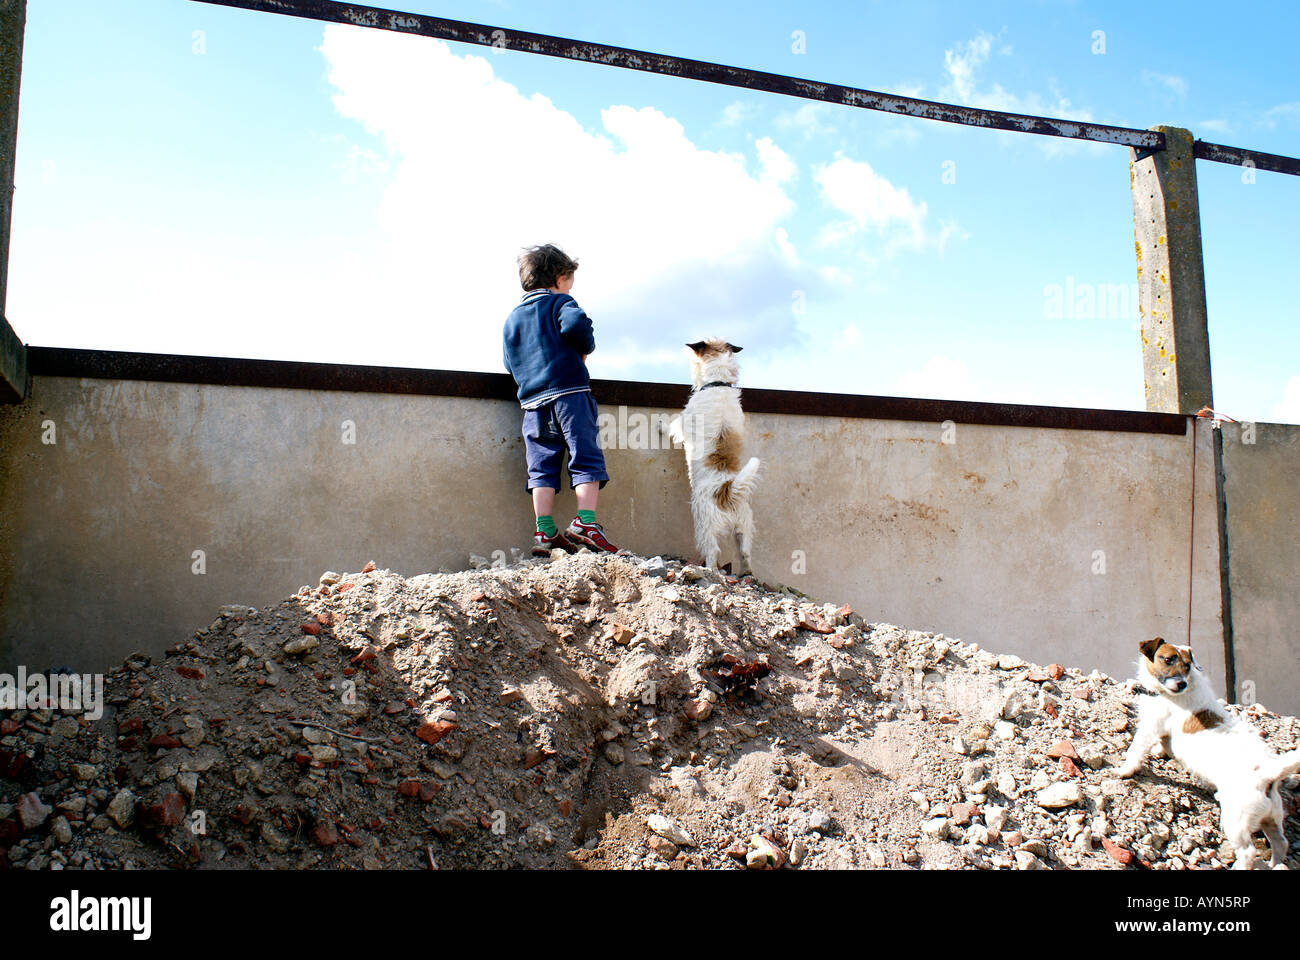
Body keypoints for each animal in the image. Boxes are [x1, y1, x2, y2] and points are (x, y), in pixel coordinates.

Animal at [670, 335, 759, 572]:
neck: (718, 384)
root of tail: (727, 489)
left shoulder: (683, 422)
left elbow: (672, 426)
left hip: (704, 524)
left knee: (713, 552)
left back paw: (709, 570)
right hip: (743, 527)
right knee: (745, 553)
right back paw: (747, 573)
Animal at [1118, 634, 1300, 868]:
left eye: (1187, 666)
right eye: (1168, 659)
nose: (1182, 683)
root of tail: (1268, 774)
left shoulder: (1151, 726)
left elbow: (1136, 749)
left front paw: (1124, 770)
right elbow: (1163, 743)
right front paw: (1161, 751)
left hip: (1236, 821)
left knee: (1248, 852)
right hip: (1272, 817)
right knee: (1281, 842)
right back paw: (1274, 864)